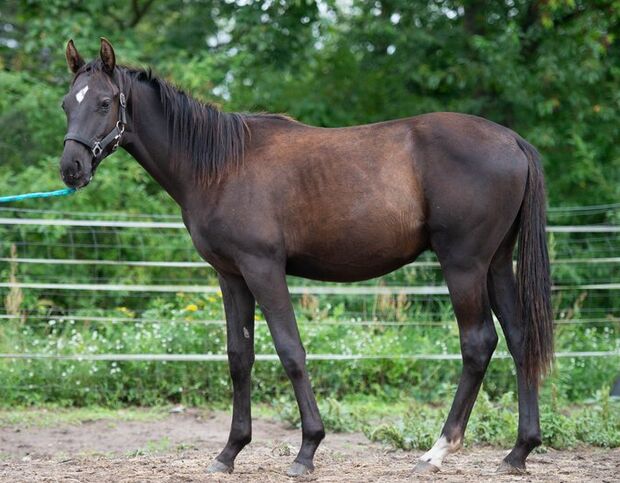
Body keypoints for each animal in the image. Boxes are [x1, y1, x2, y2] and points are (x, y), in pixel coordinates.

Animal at [59, 39, 552, 478]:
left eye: (104, 102)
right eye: (67, 103)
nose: (71, 169)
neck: (220, 166)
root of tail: (513, 141)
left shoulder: (263, 268)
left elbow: (290, 350)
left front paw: (307, 449)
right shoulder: (230, 276)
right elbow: (239, 356)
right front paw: (230, 452)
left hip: (463, 265)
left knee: (478, 343)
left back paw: (437, 452)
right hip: (495, 264)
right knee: (519, 338)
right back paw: (518, 452)